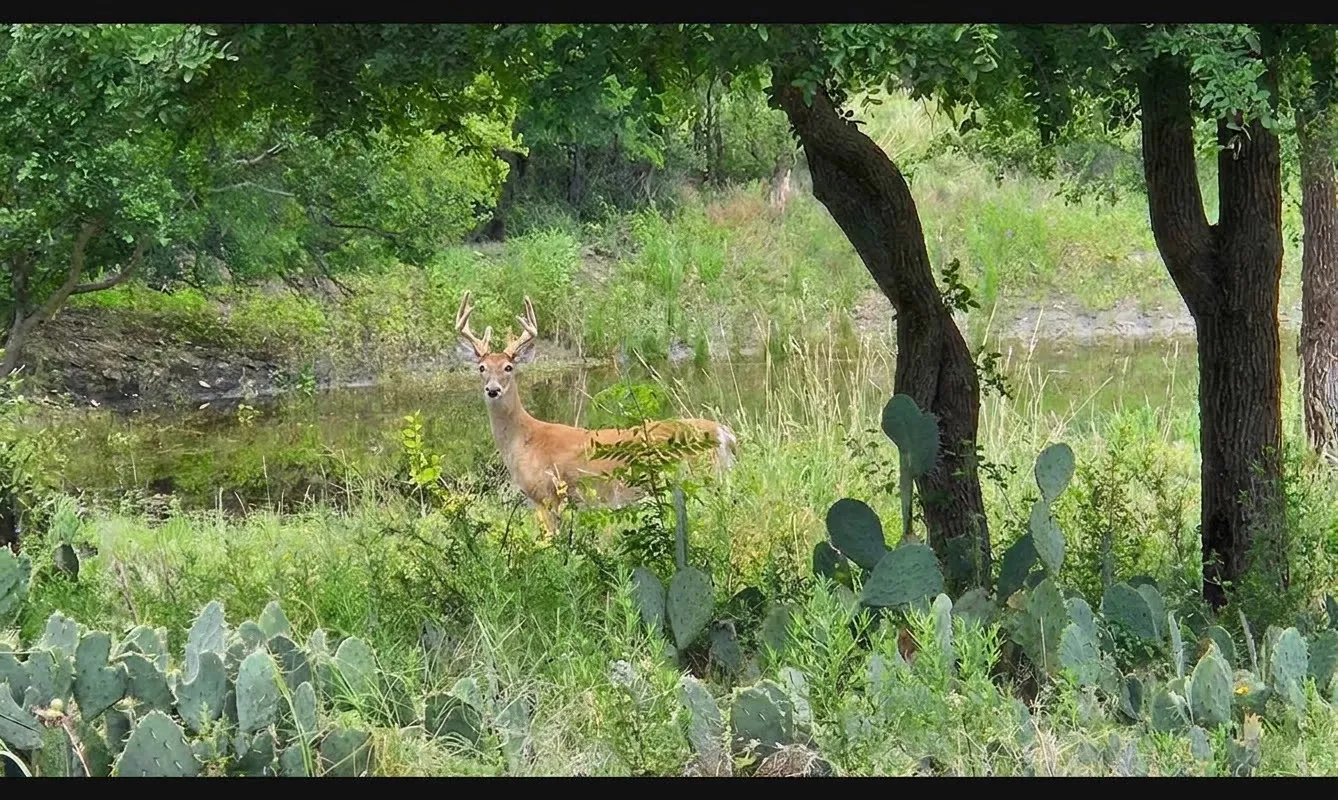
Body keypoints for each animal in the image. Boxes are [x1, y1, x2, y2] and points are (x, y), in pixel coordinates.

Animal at [454, 291, 738, 537]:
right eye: (481, 367)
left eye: (508, 367)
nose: (493, 390)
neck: (524, 439)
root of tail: (724, 433)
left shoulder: (548, 495)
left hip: (701, 476)